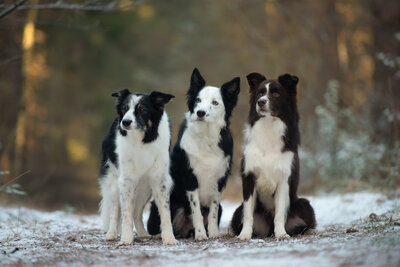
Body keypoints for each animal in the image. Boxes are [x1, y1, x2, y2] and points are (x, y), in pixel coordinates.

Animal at [98, 89, 177, 246]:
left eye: (142, 109)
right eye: (125, 108)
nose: (125, 122)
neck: (141, 140)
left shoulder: (159, 179)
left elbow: (165, 211)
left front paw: (169, 238)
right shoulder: (127, 180)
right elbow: (125, 212)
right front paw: (126, 239)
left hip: (145, 188)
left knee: (136, 212)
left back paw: (143, 234)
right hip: (114, 181)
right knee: (115, 210)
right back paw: (111, 233)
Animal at [148, 68, 239, 241]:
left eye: (215, 103)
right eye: (198, 100)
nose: (200, 112)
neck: (206, 137)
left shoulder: (218, 181)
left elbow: (212, 212)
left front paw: (213, 233)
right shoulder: (190, 179)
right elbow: (196, 211)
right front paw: (201, 235)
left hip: (221, 207)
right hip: (174, 205)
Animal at [231, 73, 316, 241]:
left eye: (276, 93)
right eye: (260, 93)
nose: (261, 102)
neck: (269, 125)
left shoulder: (284, 179)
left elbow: (280, 213)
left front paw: (281, 233)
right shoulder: (249, 178)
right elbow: (248, 213)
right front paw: (245, 234)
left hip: (304, 204)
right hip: (237, 211)